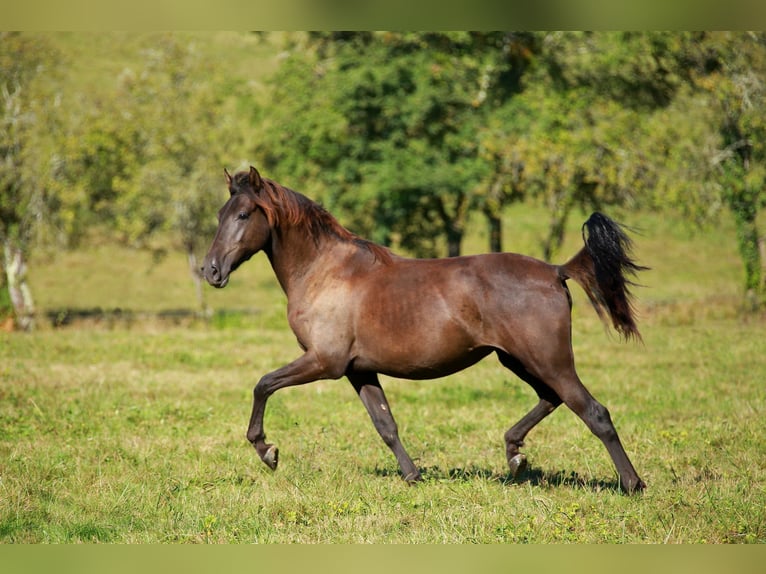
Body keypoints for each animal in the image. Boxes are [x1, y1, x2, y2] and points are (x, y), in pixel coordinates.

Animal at [202, 165, 648, 496]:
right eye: (220, 215)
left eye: (243, 215)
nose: (211, 271)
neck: (326, 272)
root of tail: (556, 272)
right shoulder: (358, 369)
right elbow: (385, 424)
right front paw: (413, 475)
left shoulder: (324, 362)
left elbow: (263, 383)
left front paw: (267, 451)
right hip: (517, 359)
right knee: (551, 399)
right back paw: (515, 456)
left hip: (548, 360)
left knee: (593, 412)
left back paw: (632, 484)